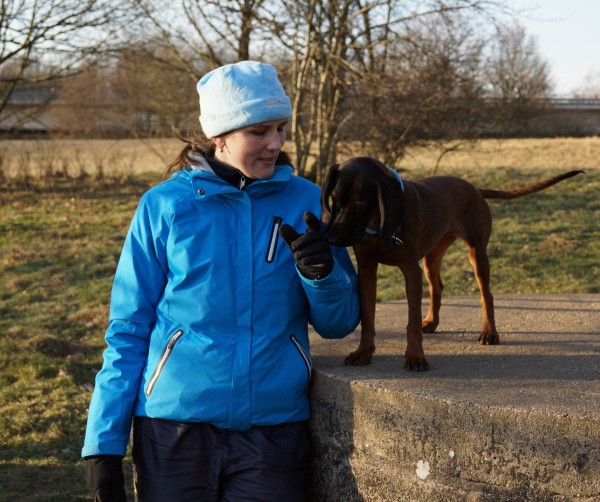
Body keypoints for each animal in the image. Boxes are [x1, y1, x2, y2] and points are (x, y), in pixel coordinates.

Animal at [322, 157, 584, 372]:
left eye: (360, 205)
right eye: (333, 200)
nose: (331, 238)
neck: (379, 223)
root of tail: (475, 189)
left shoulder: (411, 270)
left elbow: (412, 322)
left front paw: (415, 357)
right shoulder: (367, 268)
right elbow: (368, 317)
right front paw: (363, 353)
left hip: (477, 253)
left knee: (486, 295)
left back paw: (489, 333)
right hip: (432, 256)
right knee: (437, 286)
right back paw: (432, 322)